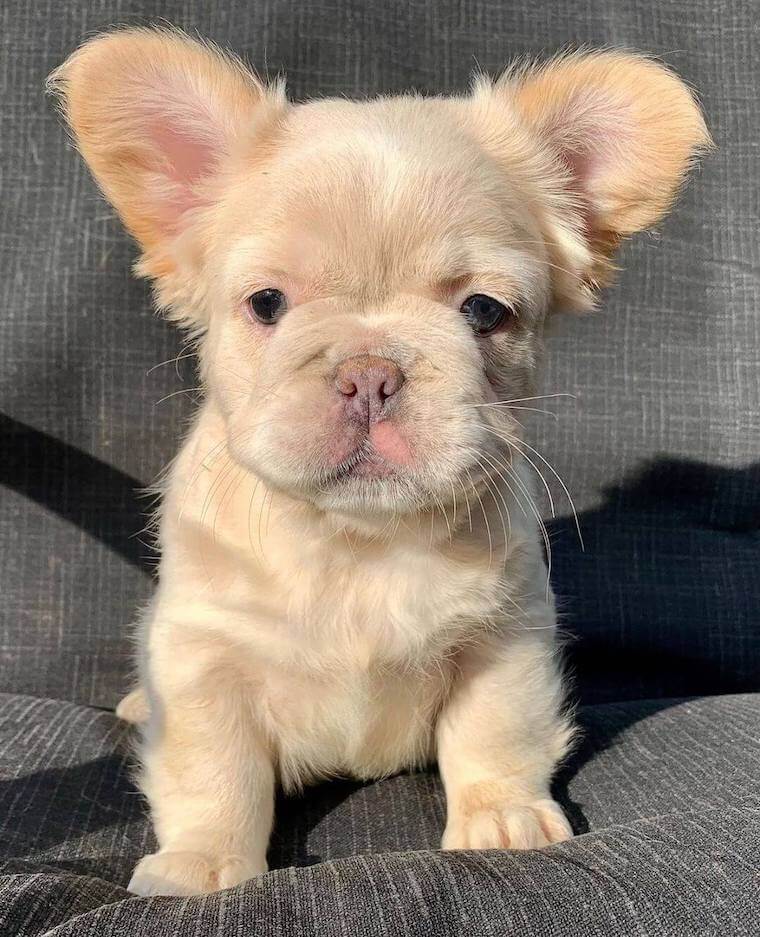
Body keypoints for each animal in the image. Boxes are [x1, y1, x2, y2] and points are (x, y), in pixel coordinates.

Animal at [50, 27, 708, 892]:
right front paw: (202, 862)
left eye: (484, 311)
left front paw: (502, 819)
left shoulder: (505, 640)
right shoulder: (202, 659)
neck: (356, 541)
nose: (370, 371)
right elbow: (213, 768)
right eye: (267, 304)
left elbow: (493, 730)